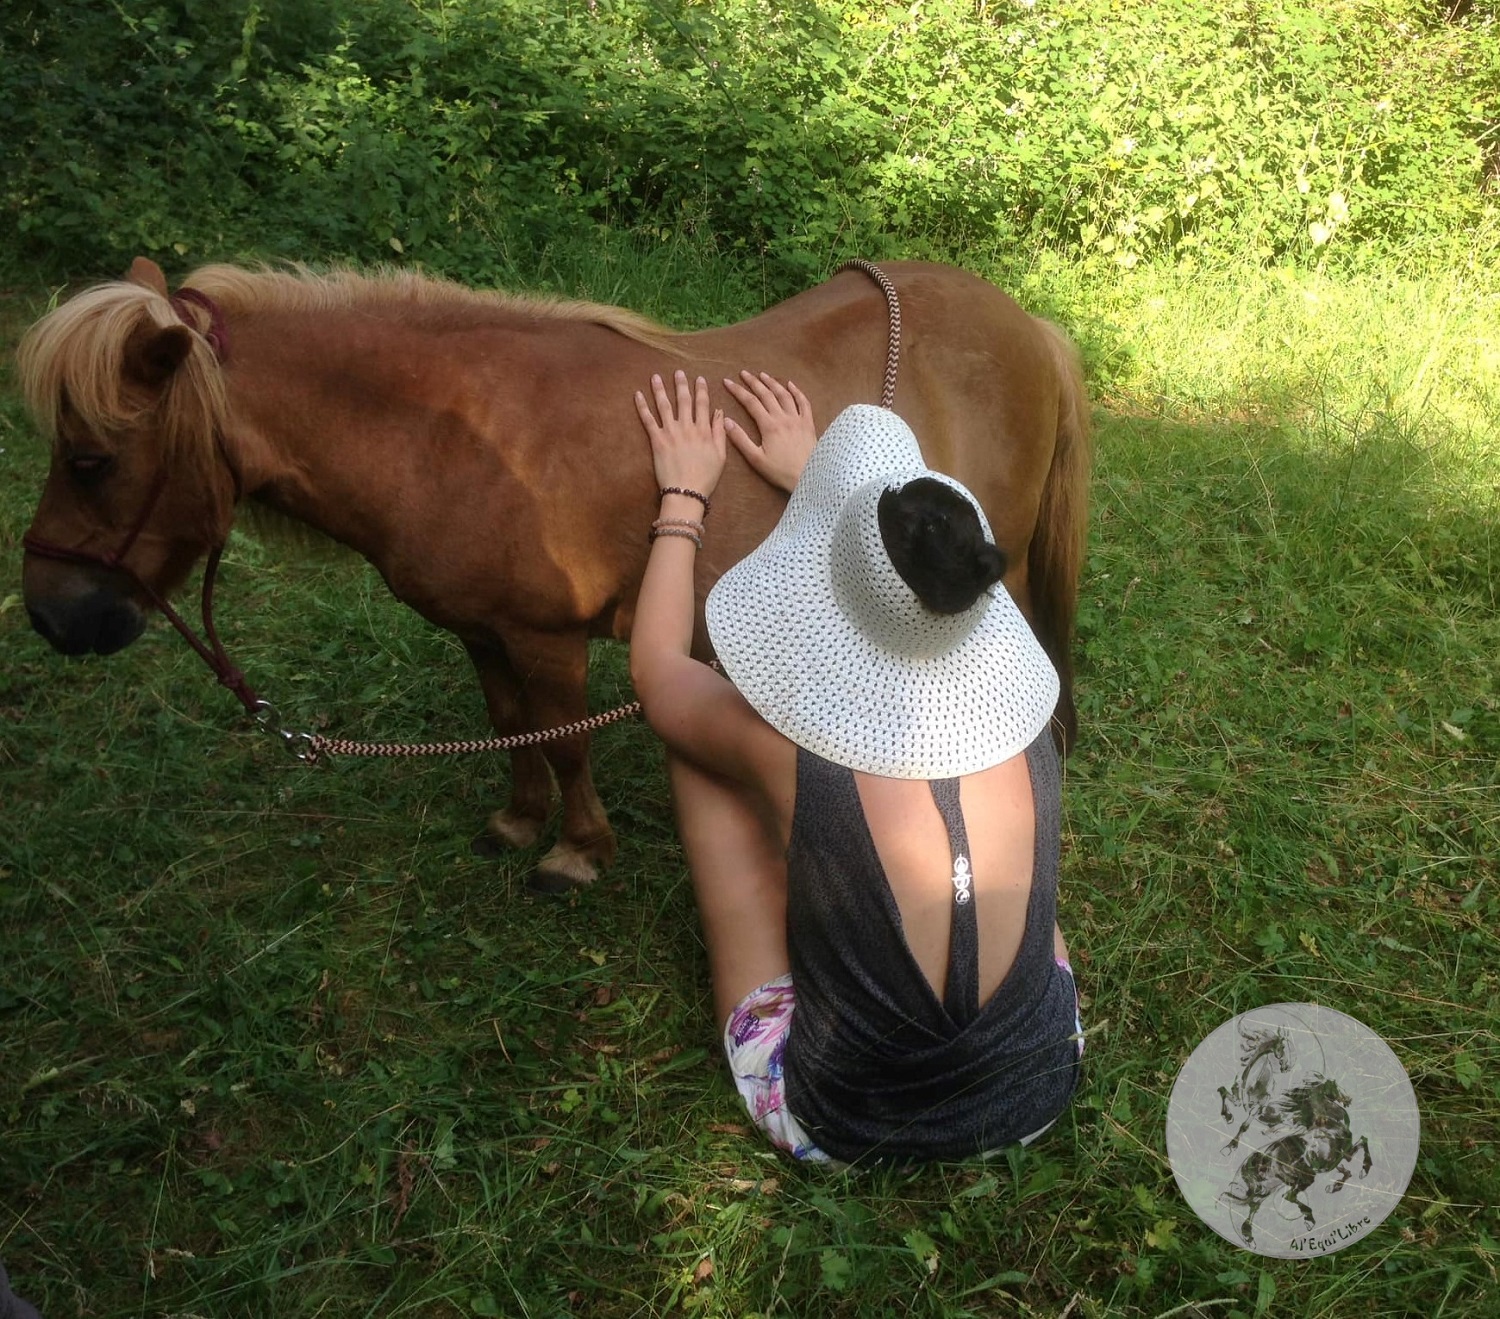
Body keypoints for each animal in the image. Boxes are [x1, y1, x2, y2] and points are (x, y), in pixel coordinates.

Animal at [14, 255, 1092, 888]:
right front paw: (519, 819)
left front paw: (577, 849)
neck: (452, 433)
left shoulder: (546, 635)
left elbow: (567, 738)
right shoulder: (481, 630)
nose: (53, 617)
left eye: (90, 459)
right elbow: (511, 726)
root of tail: (1027, 325)